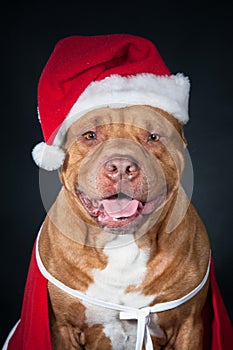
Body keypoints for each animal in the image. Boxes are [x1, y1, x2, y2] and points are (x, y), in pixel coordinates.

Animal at [36, 105, 211, 348]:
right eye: (90, 135)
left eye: (153, 136)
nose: (121, 167)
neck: (123, 243)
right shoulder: (63, 329)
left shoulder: (189, 325)